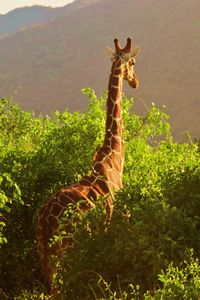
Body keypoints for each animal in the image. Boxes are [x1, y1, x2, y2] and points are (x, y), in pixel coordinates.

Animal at [35, 37, 139, 292]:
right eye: (132, 63)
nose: (135, 82)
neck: (114, 156)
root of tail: (44, 220)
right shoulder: (119, 217)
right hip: (67, 246)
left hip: (43, 250)